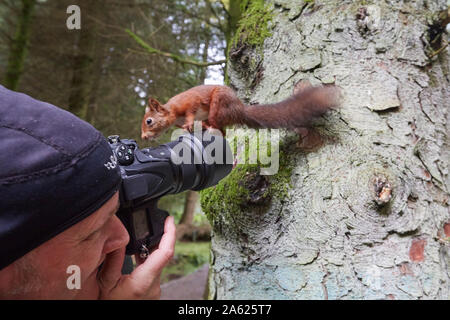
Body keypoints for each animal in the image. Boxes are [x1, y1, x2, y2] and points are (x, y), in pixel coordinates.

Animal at [141, 84, 342, 140]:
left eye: (149, 121)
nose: (143, 137)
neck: (172, 111)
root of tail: (240, 110)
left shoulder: (190, 104)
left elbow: (191, 113)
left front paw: (189, 124)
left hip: (218, 106)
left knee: (218, 125)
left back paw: (207, 125)